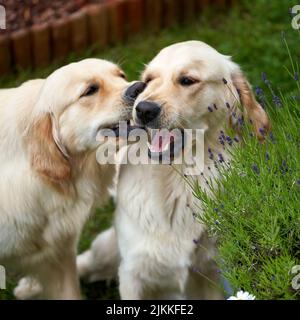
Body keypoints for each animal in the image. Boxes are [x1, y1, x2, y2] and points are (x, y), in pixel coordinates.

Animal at [77, 40, 270, 300]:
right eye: (147, 81)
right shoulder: (132, 274)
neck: (177, 181)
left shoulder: (213, 272)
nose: (144, 109)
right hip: (107, 251)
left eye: (187, 80)